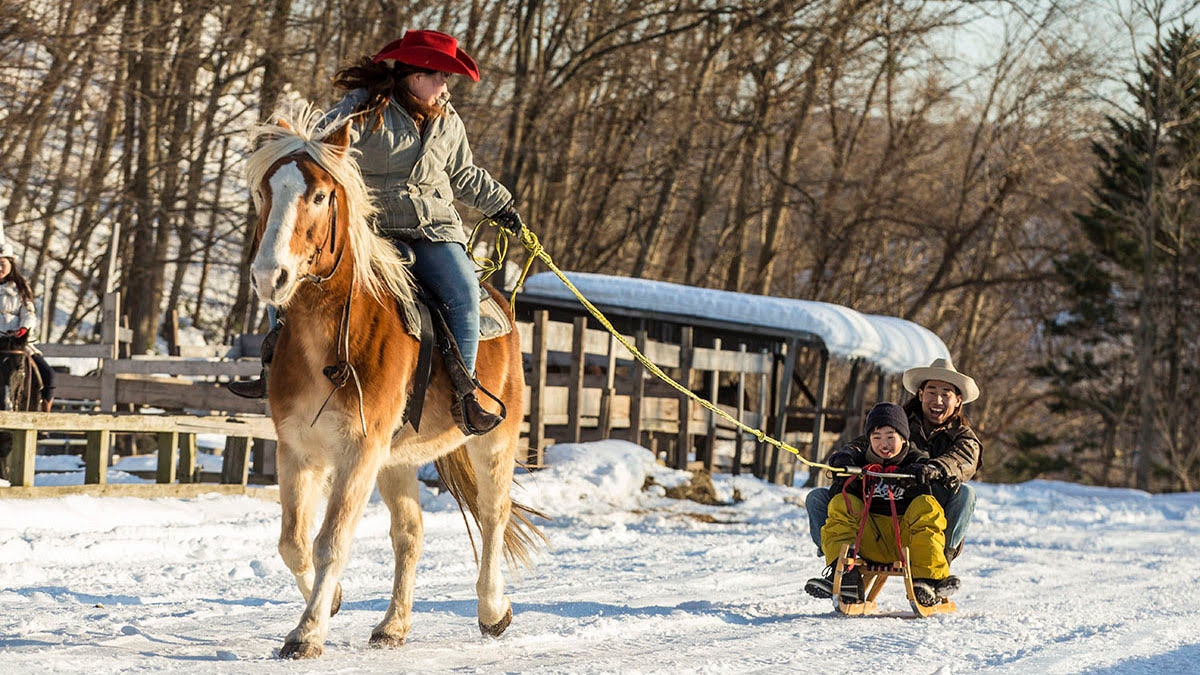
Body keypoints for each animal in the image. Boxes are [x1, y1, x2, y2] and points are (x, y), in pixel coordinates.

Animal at [243, 105, 544, 658]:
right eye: (265, 192)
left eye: (319, 195)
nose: (269, 276)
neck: (336, 335)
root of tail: (500, 297)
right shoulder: (298, 449)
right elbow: (294, 543)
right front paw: (333, 602)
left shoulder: (359, 451)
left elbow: (331, 541)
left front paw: (306, 633)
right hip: (397, 460)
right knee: (410, 534)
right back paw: (392, 626)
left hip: (493, 441)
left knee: (493, 515)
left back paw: (493, 611)